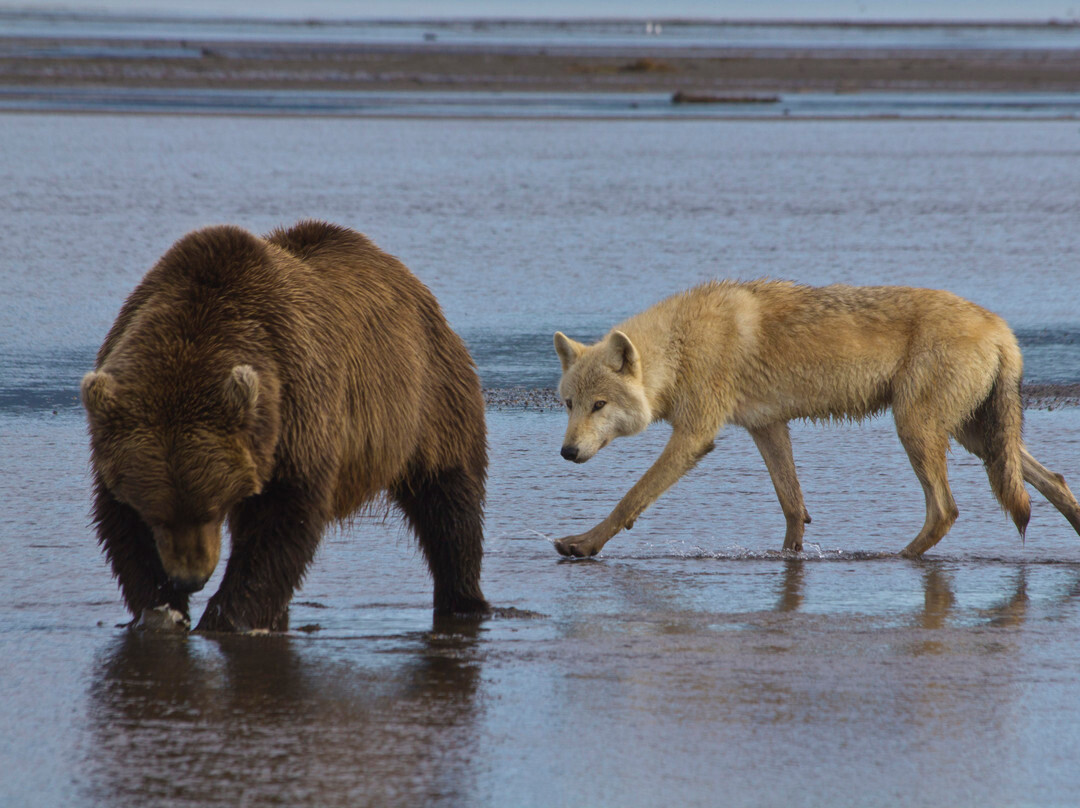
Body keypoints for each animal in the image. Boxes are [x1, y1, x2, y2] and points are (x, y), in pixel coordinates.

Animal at [81, 220, 489, 632]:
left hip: (428, 398)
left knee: (449, 500)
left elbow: (282, 521)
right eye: (157, 514)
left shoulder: (295, 406)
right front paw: (161, 609)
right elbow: (122, 527)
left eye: (210, 509)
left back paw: (463, 598)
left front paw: (227, 617)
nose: (190, 579)